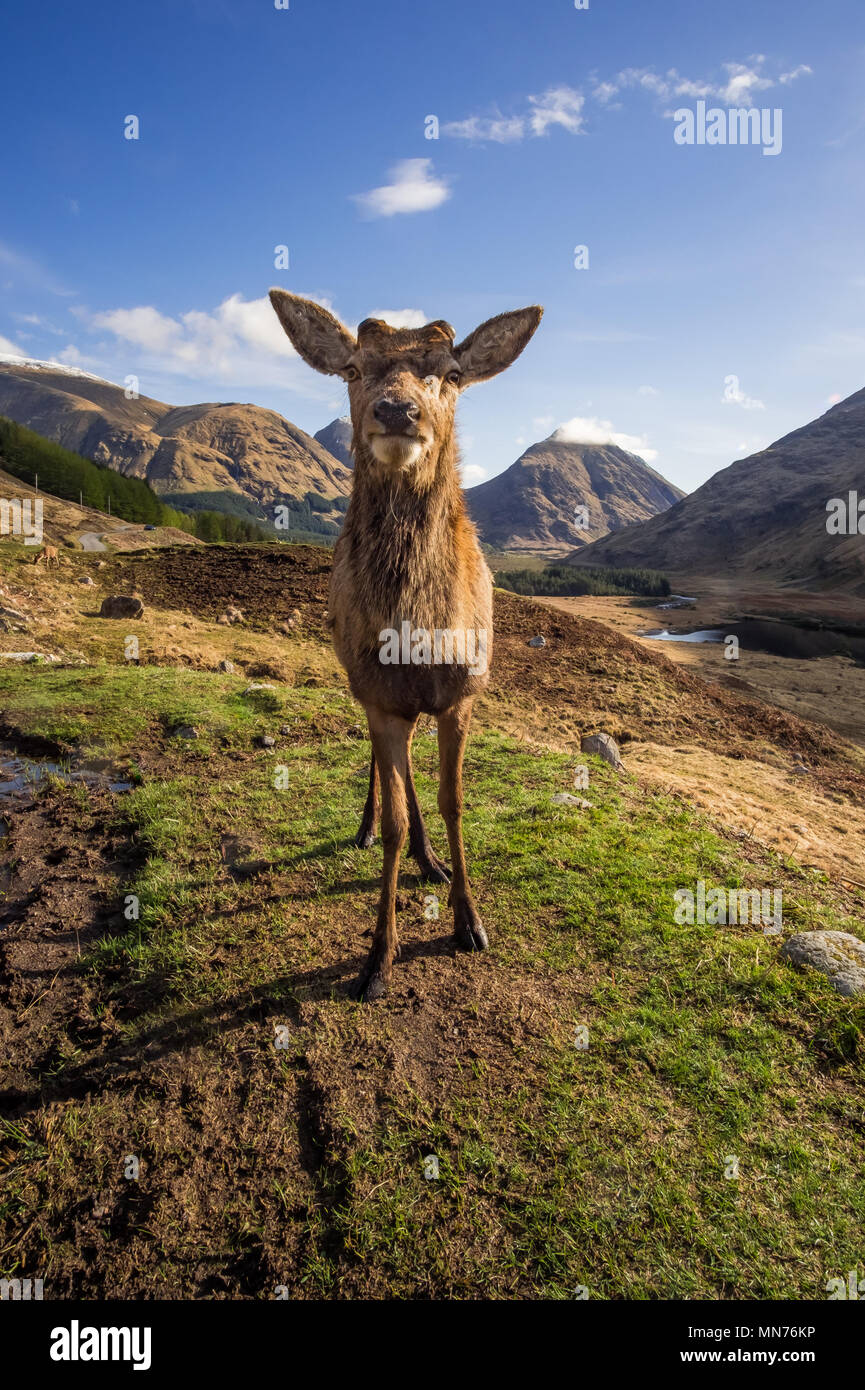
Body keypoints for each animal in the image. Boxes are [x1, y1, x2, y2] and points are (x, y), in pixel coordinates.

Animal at [269, 290, 543, 1001]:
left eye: (452, 373)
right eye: (352, 369)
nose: (397, 410)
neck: (418, 631)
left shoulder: (463, 694)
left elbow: (453, 802)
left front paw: (470, 922)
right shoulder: (380, 697)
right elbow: (396, 812)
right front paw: (377, 958)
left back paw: (432, 861)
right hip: (360, 683)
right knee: (380, 766)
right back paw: (367, 830)